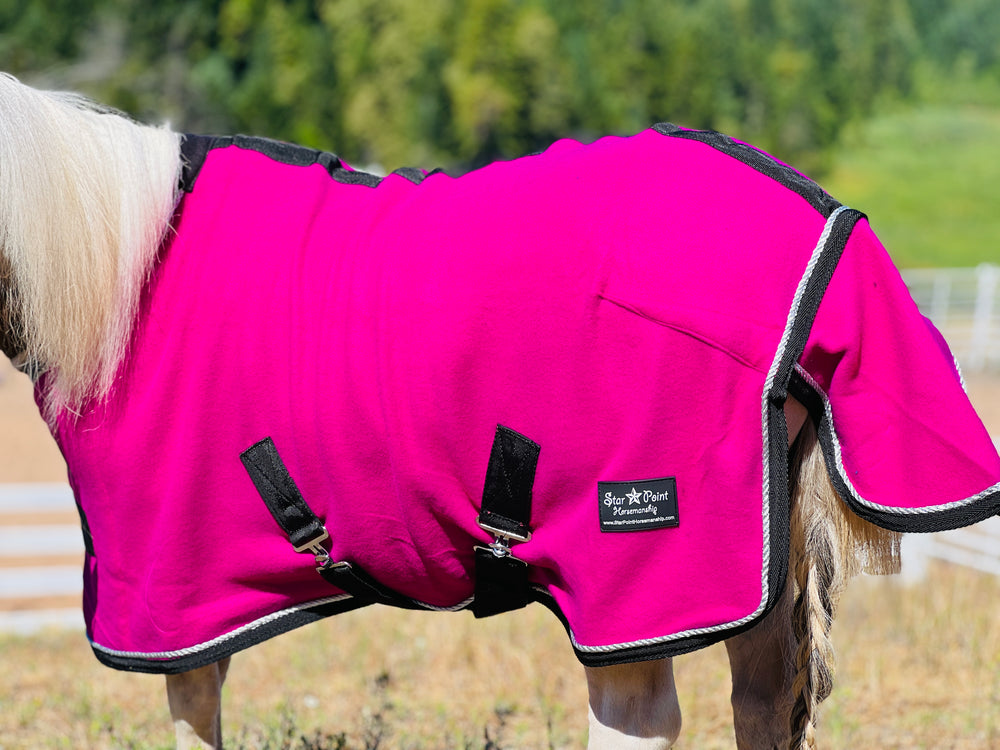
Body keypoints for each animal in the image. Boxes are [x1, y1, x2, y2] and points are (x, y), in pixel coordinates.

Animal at [2, 73, 998, 750]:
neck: (121, 270)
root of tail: (822, 217)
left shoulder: (172, 595)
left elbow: (192, 715)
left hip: (639, 567)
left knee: (639, 716)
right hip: (748, 555)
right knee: (760, 701)